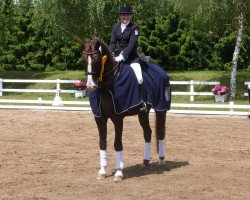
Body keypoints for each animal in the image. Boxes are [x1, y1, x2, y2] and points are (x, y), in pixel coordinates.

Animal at [76, 37, 170, 181]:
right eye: (83, 59)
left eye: (97, 59)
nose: (91, 86)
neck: (107, 85)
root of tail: (161, 71)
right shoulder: (99, 118)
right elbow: (102, 143)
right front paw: (102, 171)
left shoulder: (118, 118)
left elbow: (117, 143)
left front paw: (119, 173)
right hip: (143, 114)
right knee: (147, 133)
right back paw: (145, 162)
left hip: (161, 109)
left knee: (160, 133)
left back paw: (161, 160)